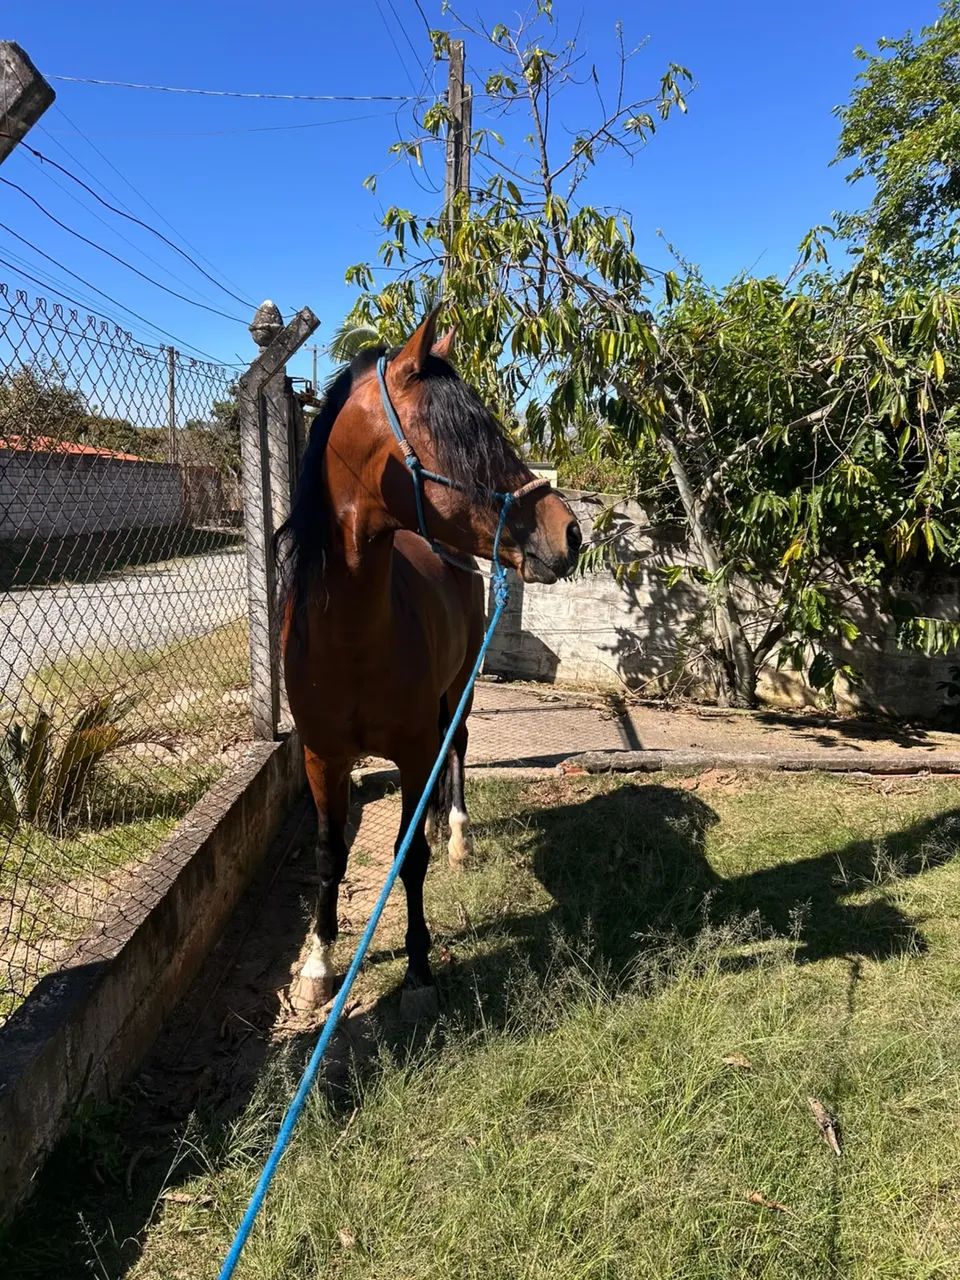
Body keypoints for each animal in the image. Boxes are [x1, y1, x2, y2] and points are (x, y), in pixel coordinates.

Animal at [277, 309, 582, 1015]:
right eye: (468, 437)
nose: (572, 533)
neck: (351, 639)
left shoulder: (414, 749)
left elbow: (407, 856)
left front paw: (418, 968)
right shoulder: (321, 757)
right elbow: (329, 855)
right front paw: (318, 964)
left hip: (461, 687)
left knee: (460, 746)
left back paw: (459, 834)